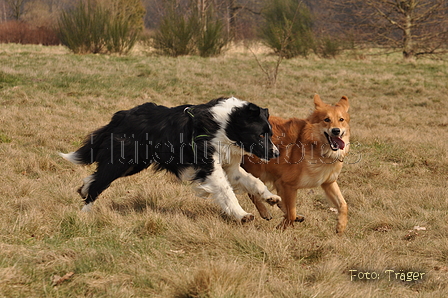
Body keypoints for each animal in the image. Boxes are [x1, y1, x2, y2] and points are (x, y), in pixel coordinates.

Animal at [60, 96, 280, 222]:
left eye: (269, 134)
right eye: (261, 135)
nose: (276, 153)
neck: (226, 125)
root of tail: (122, 115)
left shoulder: (230, 168)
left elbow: (253, 181)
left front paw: (271, 197)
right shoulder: (209, 166)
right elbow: (226, 191)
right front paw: (241, 215)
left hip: (134, 164)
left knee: (95, 177)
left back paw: (83, 189)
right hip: (122, 162)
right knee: (99, 183)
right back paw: (84, 213)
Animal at [242, 95, 350, 233]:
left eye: (341, 119)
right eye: (326, 119)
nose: (336, 131)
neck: (316, 147)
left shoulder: (328, 182)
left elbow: (343, 204)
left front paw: (341, 226)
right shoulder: (288, 185)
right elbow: (291, 213)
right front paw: (281, 227)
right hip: (258, 171)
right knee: (252, 193)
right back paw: (264, 211)